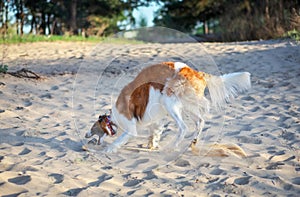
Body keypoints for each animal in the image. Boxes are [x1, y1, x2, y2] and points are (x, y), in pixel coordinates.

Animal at [85, 61, 251, 152]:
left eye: (93, 129)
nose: (86, 135)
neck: (112, 119)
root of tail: (198, 73)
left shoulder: (131, 128)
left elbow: (119, 140)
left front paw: (108, 150)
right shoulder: (155, 121)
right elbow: (154, 133)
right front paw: (151, 145)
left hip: (169, 101)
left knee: (184, 127)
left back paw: (173, 146)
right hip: (187, 105)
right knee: (200, 121)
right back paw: (193, 142)